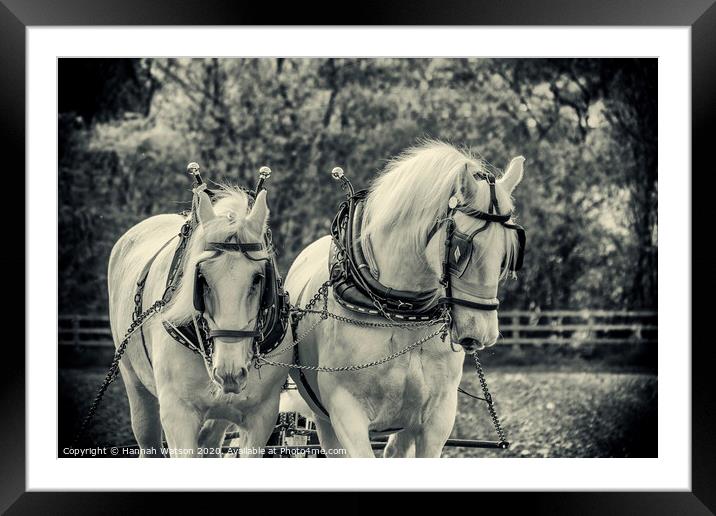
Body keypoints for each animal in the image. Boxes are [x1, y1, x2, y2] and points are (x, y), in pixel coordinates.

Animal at [105, 187, 288, 458]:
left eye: (258, 278)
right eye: (201, 278)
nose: (230, 372)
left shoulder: (261, 417)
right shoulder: (177, 414)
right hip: (134, 382)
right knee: (148, 439)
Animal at [282, 141, 524, 456]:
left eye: (508, 253)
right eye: (461, 248)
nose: (481, 333)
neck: (402, 316)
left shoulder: (437, 417)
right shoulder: (346, 413)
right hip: (323, 419)